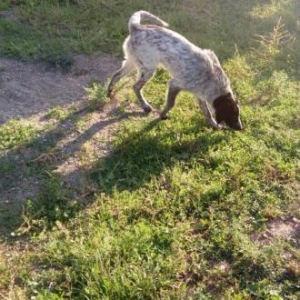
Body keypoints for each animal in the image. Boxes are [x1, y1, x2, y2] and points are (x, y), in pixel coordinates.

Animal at [106, 10, 243, 130]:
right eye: (232, 115)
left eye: (237, 114)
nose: (240, 128)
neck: (213, 77)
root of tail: (137, 27)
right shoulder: (175, 84)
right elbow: (170, 104)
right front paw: (162, 115)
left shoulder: (199, 94)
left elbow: (207, 113)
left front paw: (214, 125)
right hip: (148, 69)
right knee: (135, 87)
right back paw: (145, 106)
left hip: (133, 62)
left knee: (116, 75)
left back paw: (109, 92)